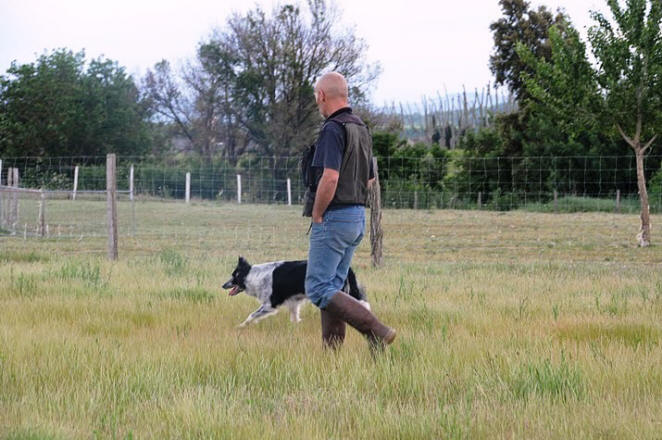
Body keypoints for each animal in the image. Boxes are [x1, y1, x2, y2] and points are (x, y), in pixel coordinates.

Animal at [222, 258, 368, 326]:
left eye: (234, 277)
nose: (223, 285)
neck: (254, 275)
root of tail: (348, 268)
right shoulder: (294, 300)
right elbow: (294, 315)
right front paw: (296, 325)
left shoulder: (270, 304)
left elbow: (252, 315)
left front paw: (241, 326)